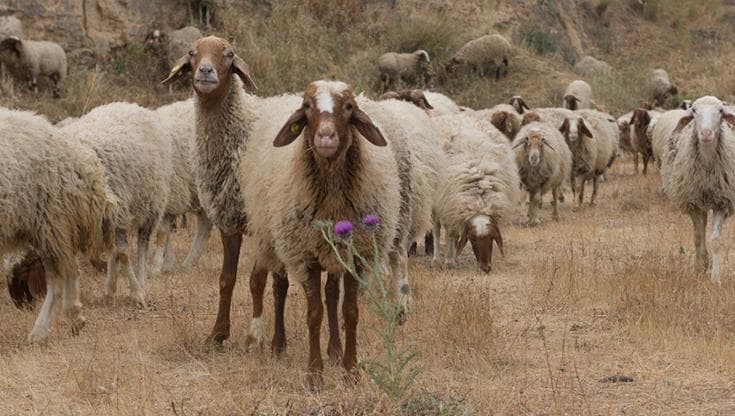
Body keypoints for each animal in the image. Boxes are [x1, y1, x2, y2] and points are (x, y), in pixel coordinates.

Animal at [59, 102, 174, 308]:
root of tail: (132, 105)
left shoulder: (117, 212)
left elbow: (124, 254)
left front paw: (137, 294)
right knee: (113, 248)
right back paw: (110, 289)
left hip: (151, 205)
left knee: (142, 244)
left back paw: (141, 282)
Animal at [432, 114, 520, 271]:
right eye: (472, 239)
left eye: (491, 238)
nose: (485, 268)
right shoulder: (450, 204)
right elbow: (451, 233)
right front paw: (449, 261)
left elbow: (455, 234)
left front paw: (454, 258)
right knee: (437, 229)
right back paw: (437, 259)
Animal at [659, 96, 735, 283]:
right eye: (694, 110)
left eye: (721, 110)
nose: (706, 133)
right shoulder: (694, 204)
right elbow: (698, 238)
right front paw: (699, 269)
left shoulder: (722, 203)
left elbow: (715, 240)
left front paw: (715, 278)